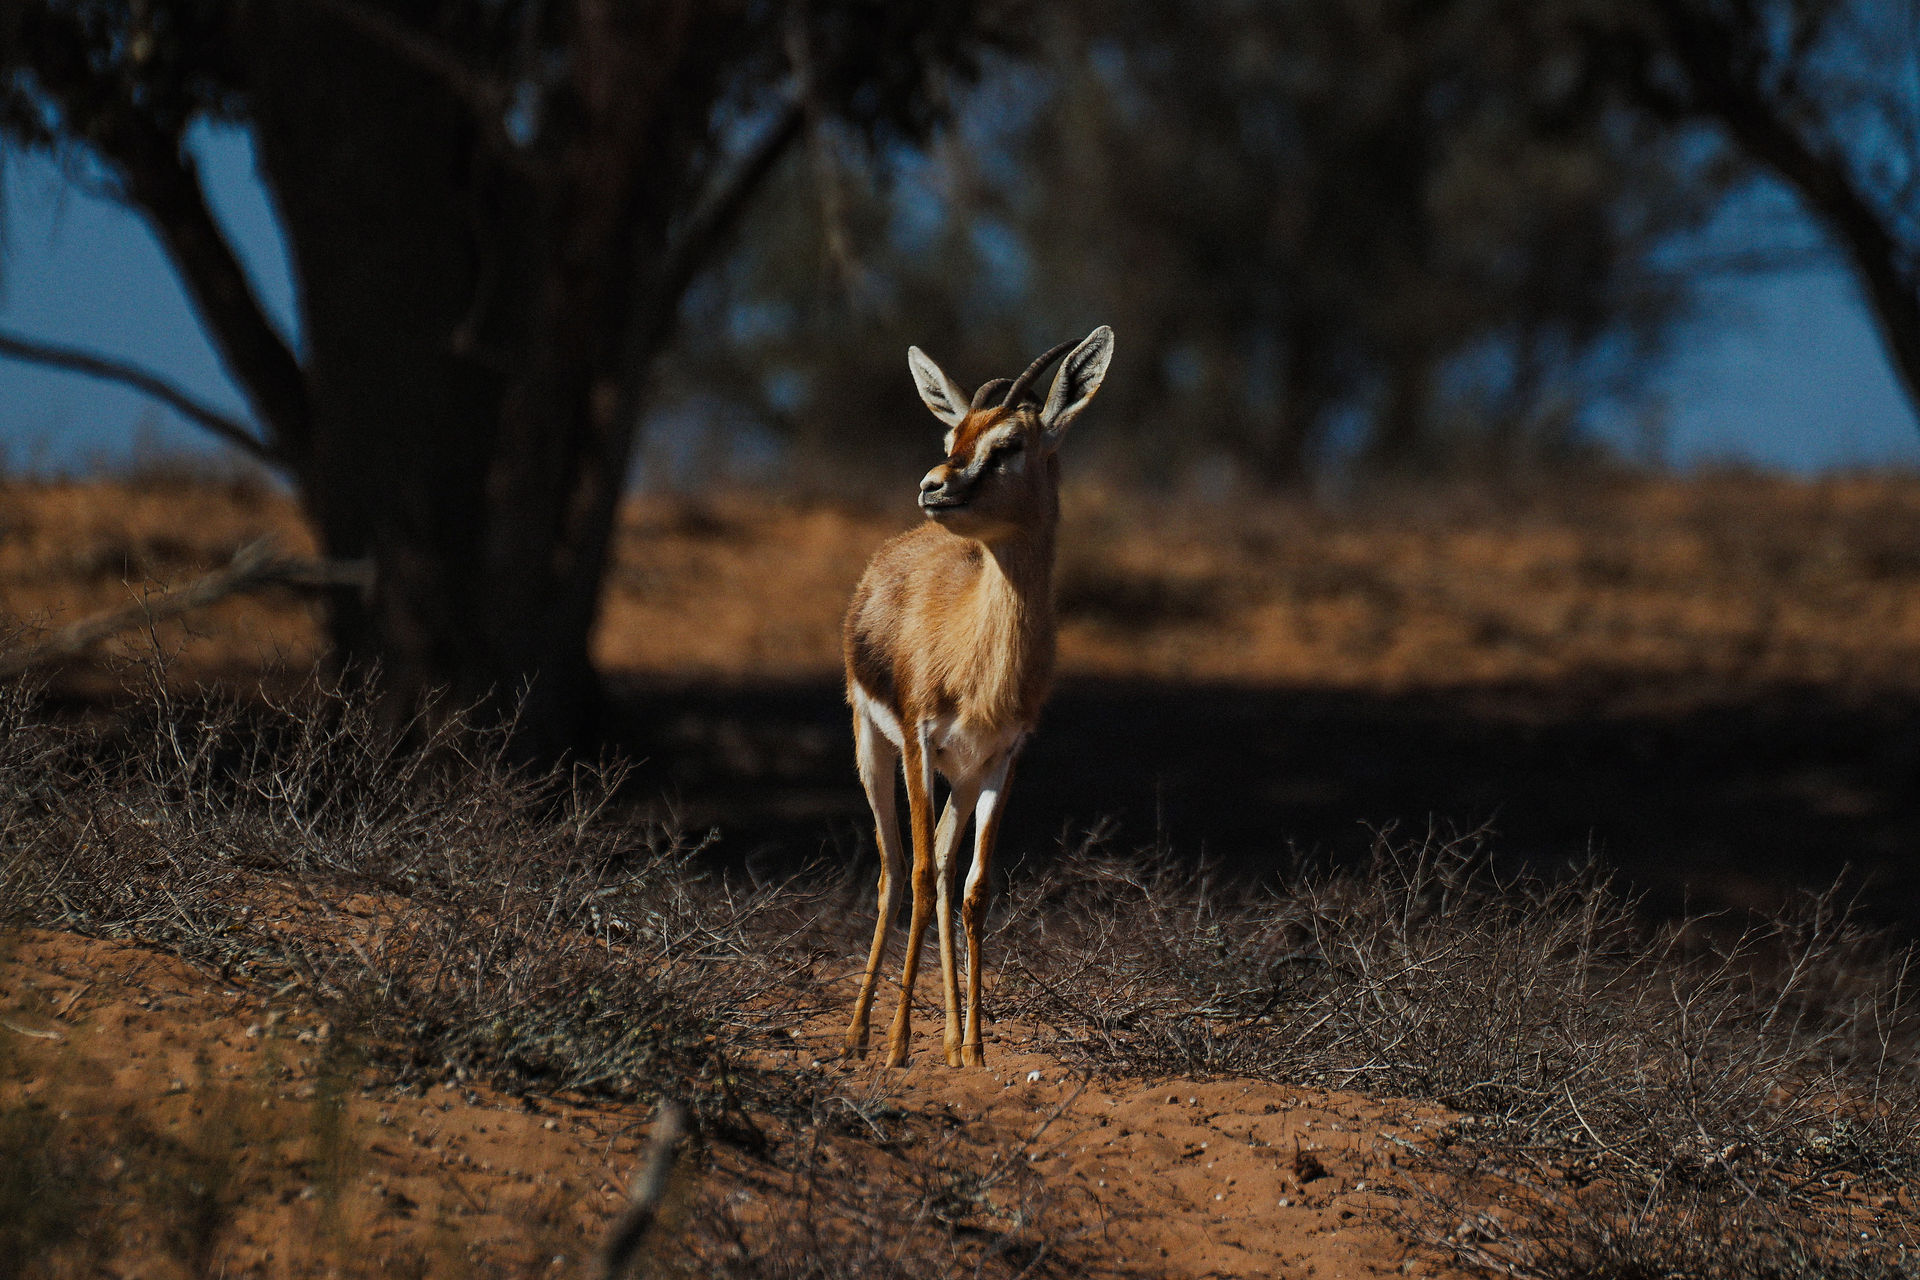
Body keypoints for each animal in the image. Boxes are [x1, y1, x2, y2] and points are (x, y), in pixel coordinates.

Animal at [843, 325, 1115, 1068]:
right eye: (952, 435)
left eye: (1009, 444)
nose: (933, 487)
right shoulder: (917, 742)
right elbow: (913, 875)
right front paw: (898, 1045)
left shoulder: (1001, 760)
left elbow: (974, 889)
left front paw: (977, 1049)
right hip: (874, 749)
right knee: (895, 867)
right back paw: (861, 1034)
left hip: (959, 778)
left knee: (940, 865)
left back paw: (950, 1041)